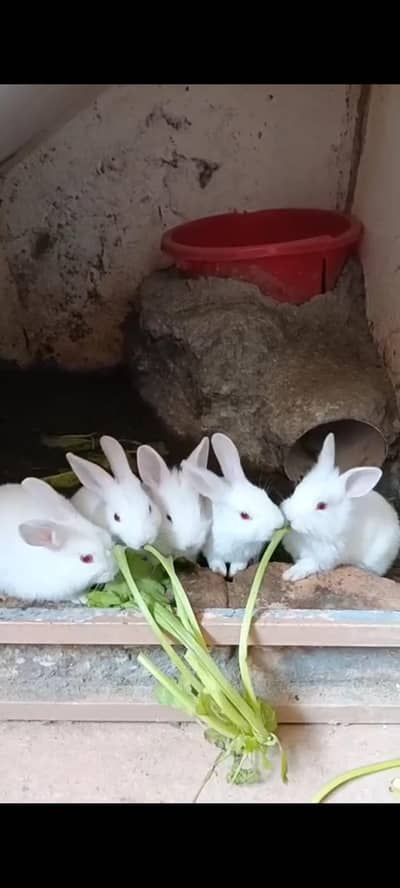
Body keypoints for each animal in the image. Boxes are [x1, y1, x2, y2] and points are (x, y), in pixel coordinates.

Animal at [182, 432, 284, 577]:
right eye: (244, 515)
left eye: (265, 494)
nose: (278, 525)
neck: (236, 535)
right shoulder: (212, 550)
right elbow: (215, 560)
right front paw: (220, 570)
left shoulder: (243, 556)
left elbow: (239, 563)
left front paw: (235, 571)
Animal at [281, 432, 400, 582]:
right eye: (297, 488)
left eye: (321, 506)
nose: (290, 518)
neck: (308, 535)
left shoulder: (324, 557)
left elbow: (308, 564)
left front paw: (290, 574)